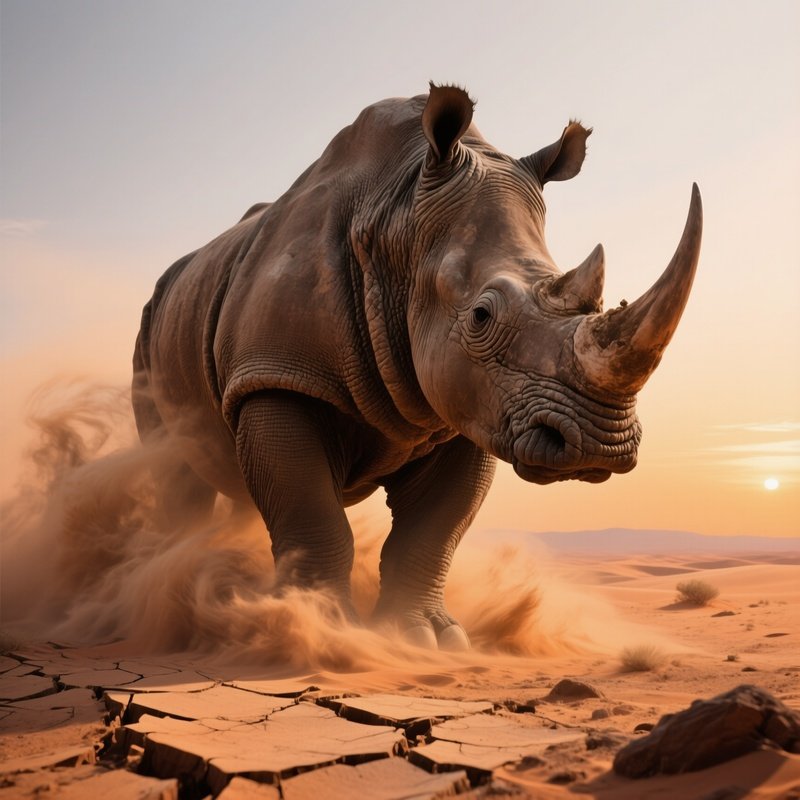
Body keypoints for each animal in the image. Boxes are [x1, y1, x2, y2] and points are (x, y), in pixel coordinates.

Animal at [133, 84, 702, 650]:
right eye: (481, 315)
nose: (599, 445)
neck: (395, 224)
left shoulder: (471, 406)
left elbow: (434, 529)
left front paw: (424, 638)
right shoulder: (276, 375)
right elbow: (312, 514)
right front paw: (324, 627)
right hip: (149, 329)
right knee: (177, 474)